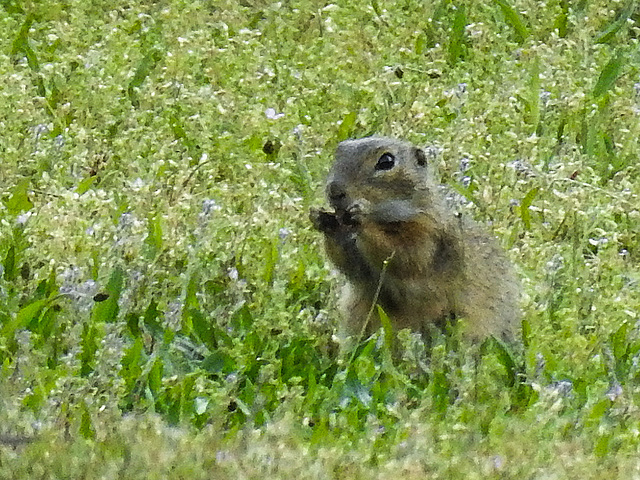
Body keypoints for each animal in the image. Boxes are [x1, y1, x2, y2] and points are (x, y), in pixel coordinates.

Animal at [310, 137, 520, 344]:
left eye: (386, 161)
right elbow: (350, 264)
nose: (334, 191)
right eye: (338, 151)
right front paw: (322, 218)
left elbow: (405, 256)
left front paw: (361, 216)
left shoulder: (427, 234)